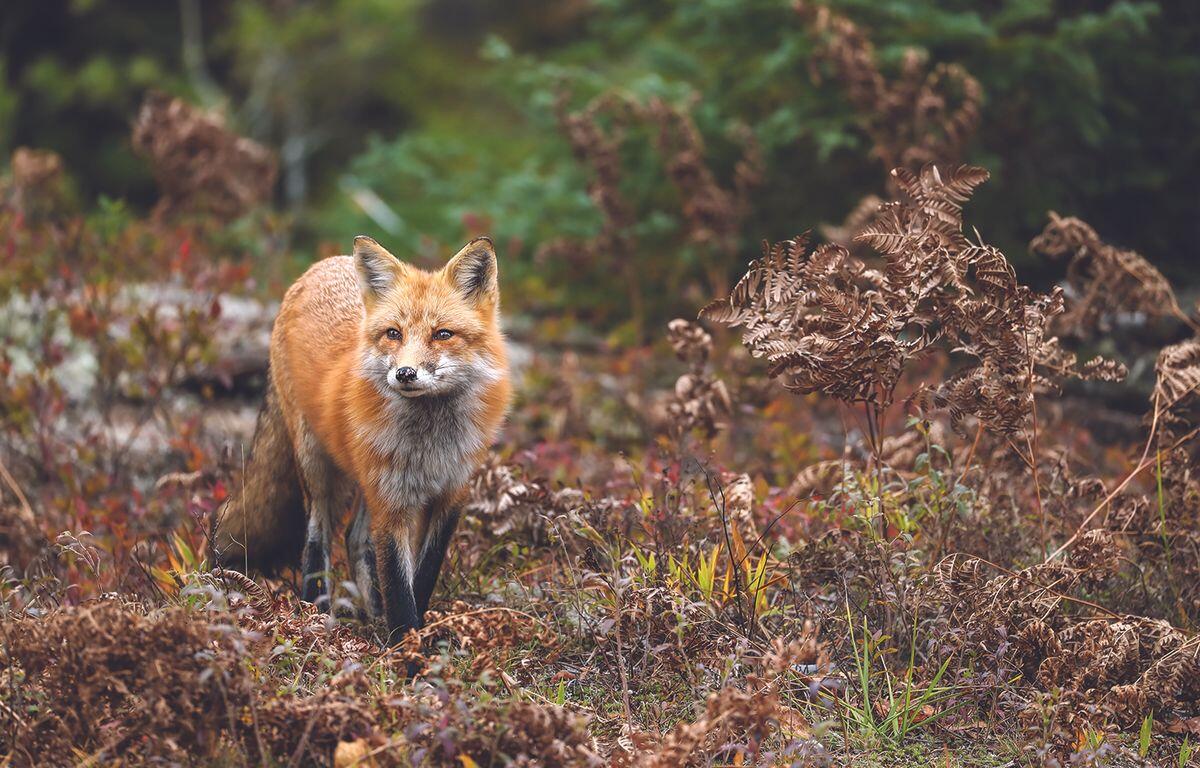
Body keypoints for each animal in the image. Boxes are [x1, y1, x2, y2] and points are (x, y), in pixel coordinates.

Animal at [210, 235, 511, 644]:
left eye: (442, 334)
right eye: (394, 333)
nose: (405, 373)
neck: (430, 447)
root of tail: (319, 267)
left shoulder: (451, 497)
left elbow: (421, 578)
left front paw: (413, 633)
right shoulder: (391, 505)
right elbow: (399, 589)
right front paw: (408, 651)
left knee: (354, 539)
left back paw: (371, 612)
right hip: (319, 469)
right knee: (318, 537)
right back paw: (316, 613)